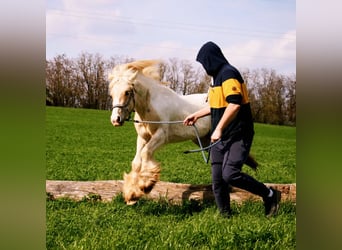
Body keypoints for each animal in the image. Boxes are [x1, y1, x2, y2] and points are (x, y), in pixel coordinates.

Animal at [108, 59, 258, 204]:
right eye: (111, 94)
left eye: (127, 92)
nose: (115, 120)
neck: (150, 106)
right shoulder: (143, 137)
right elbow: (136, 162)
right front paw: (131, 194)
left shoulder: (161, 136)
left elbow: (145, 154)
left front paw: (146, 185)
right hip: (203, 140)